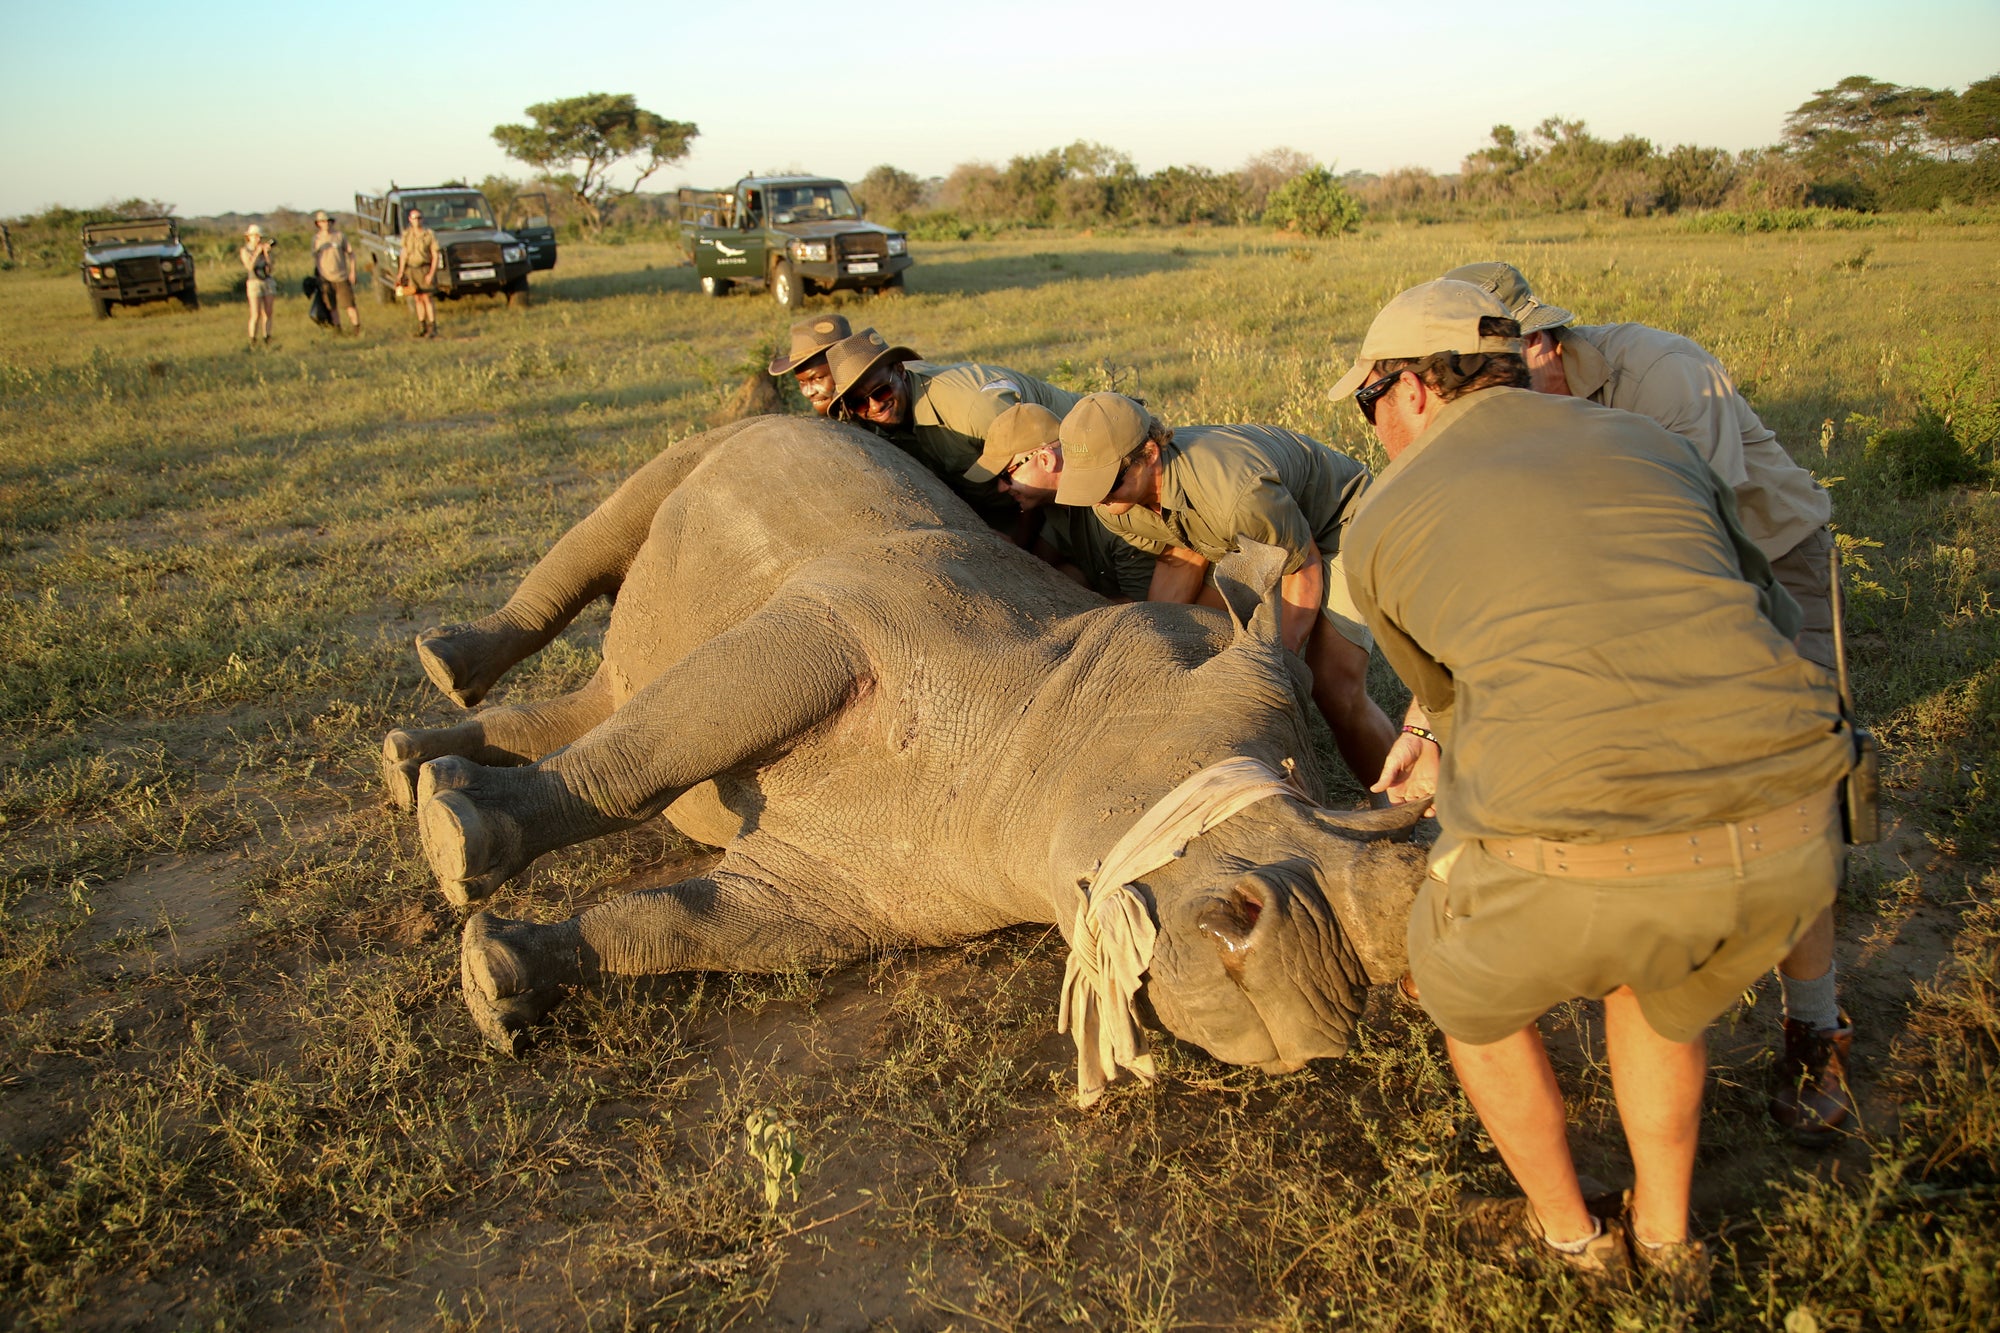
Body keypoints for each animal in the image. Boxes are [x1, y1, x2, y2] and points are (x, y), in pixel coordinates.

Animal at [383, 415, 1427, 1103]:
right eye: (1263, 784)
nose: (1317, 1003)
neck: (1040, 737)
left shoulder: (845, 894)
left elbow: (677, 923)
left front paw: (495, 979)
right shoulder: (838, 620)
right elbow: (650, 755)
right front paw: (459, 843)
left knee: (617, 688)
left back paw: (410, 766)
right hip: (726, 444)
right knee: (612, 545)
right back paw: (440, 714)